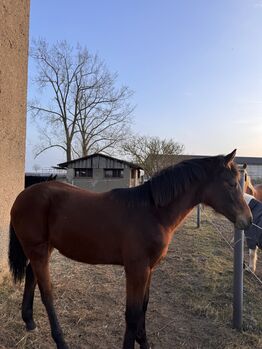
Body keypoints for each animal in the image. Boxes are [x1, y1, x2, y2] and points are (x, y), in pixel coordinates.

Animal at [8, 150, 252, 348]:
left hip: (44, 249)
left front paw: (144, 343)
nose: (247, 220)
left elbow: (143, 308)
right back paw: (60, 341)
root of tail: (24, 194)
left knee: (31, 276)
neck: (153, 211)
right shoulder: (136, 270)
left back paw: (30, 322)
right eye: (232, 184)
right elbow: (132, 314)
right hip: (38, 250)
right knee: (46, 292)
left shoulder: (149, 269)